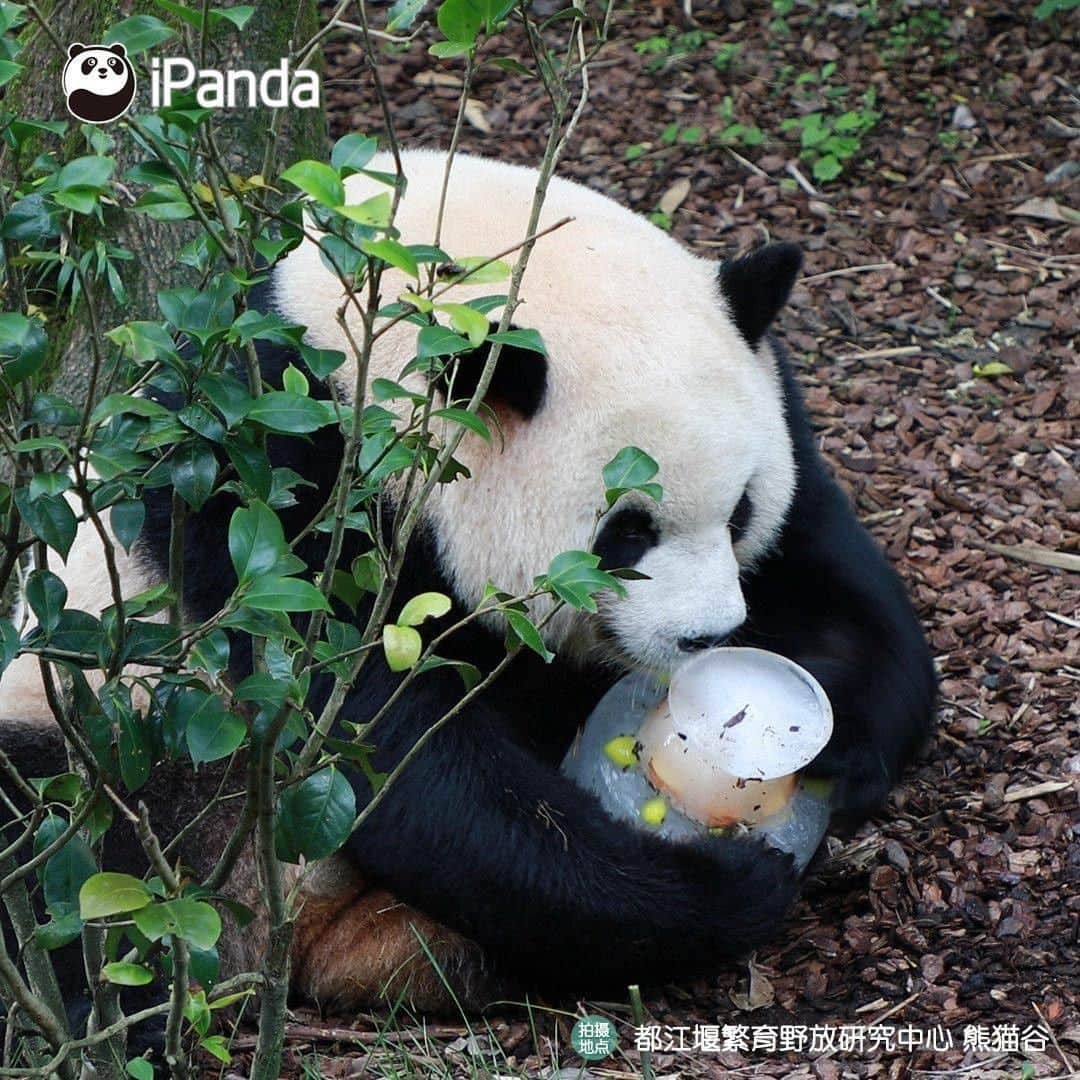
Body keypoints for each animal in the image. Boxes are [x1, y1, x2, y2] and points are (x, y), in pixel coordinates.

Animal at [0, 150, 937, 1019]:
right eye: (628, 532)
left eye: (740, 511)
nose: (705, 638)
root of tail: (307, 942)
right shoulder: (268, 472)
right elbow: (389, 749)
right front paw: (717, 882)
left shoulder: (783, 417)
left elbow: (840, 591)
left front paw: (826, 742)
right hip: (113, 727)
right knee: (57, 840)